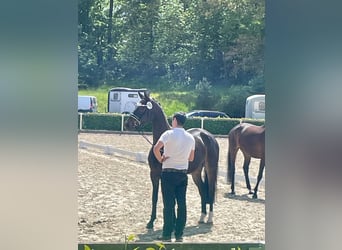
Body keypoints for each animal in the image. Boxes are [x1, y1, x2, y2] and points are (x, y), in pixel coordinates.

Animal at [123, 90, 219, 229]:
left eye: (142, 108)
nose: (127, 124)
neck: (162, 144)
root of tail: (208, 135)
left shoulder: (165, 176)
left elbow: (169, 199)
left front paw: (171, 222)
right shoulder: (154, 174)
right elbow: (155, 198)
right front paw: (151, 222)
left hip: (211, 168)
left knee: (210, 191)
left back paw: (210, 218)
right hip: (196, 172)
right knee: (202, 190)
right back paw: (201, 217)